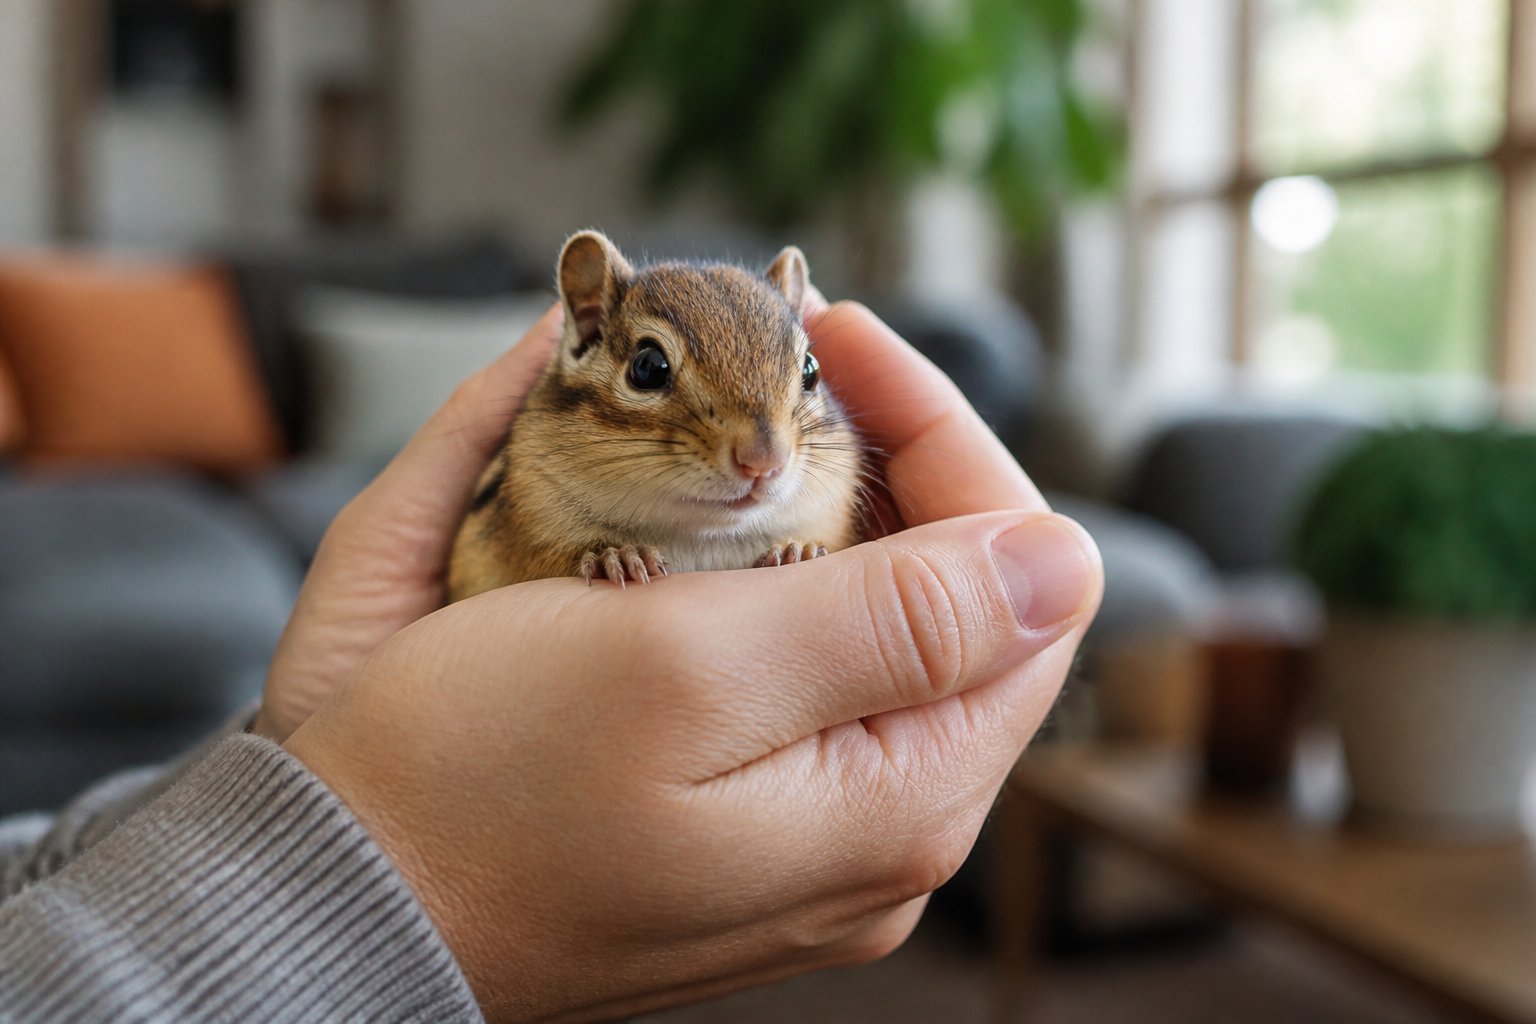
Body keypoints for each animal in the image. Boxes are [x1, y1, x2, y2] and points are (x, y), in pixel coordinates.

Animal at [447, 230, 864, 600]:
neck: (700, 538)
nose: (763, 461)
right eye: (647, 368)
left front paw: (799, 550)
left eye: (811, 370)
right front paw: (615, 555)